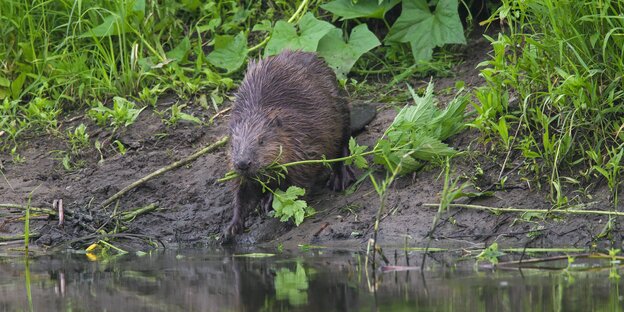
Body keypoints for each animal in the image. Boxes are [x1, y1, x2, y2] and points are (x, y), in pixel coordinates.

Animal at [224, 49, 354, 239]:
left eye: (261, 140)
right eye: (233, 145)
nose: (243, 163)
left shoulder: (306, 144)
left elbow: (300, 184)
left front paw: (289, 218)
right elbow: (242, 194)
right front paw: (231, 228)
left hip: (340, 106)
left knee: (344, 140)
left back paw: (340, 177)